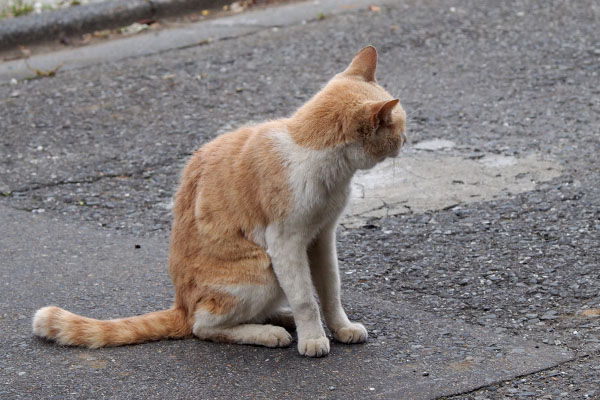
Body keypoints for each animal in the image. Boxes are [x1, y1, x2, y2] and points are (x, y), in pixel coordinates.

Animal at [32, 45, 408, 358]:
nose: (406, 140)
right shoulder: (286, 243)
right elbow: (305, 299)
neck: (316, 159)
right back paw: (268, 333)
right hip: (262, 269)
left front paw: (341, 328)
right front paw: (314, 338)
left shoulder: (322, 237)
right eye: (398, 128)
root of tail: (180, 305)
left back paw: (278, 317)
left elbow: (330, 290)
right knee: (204, 326)